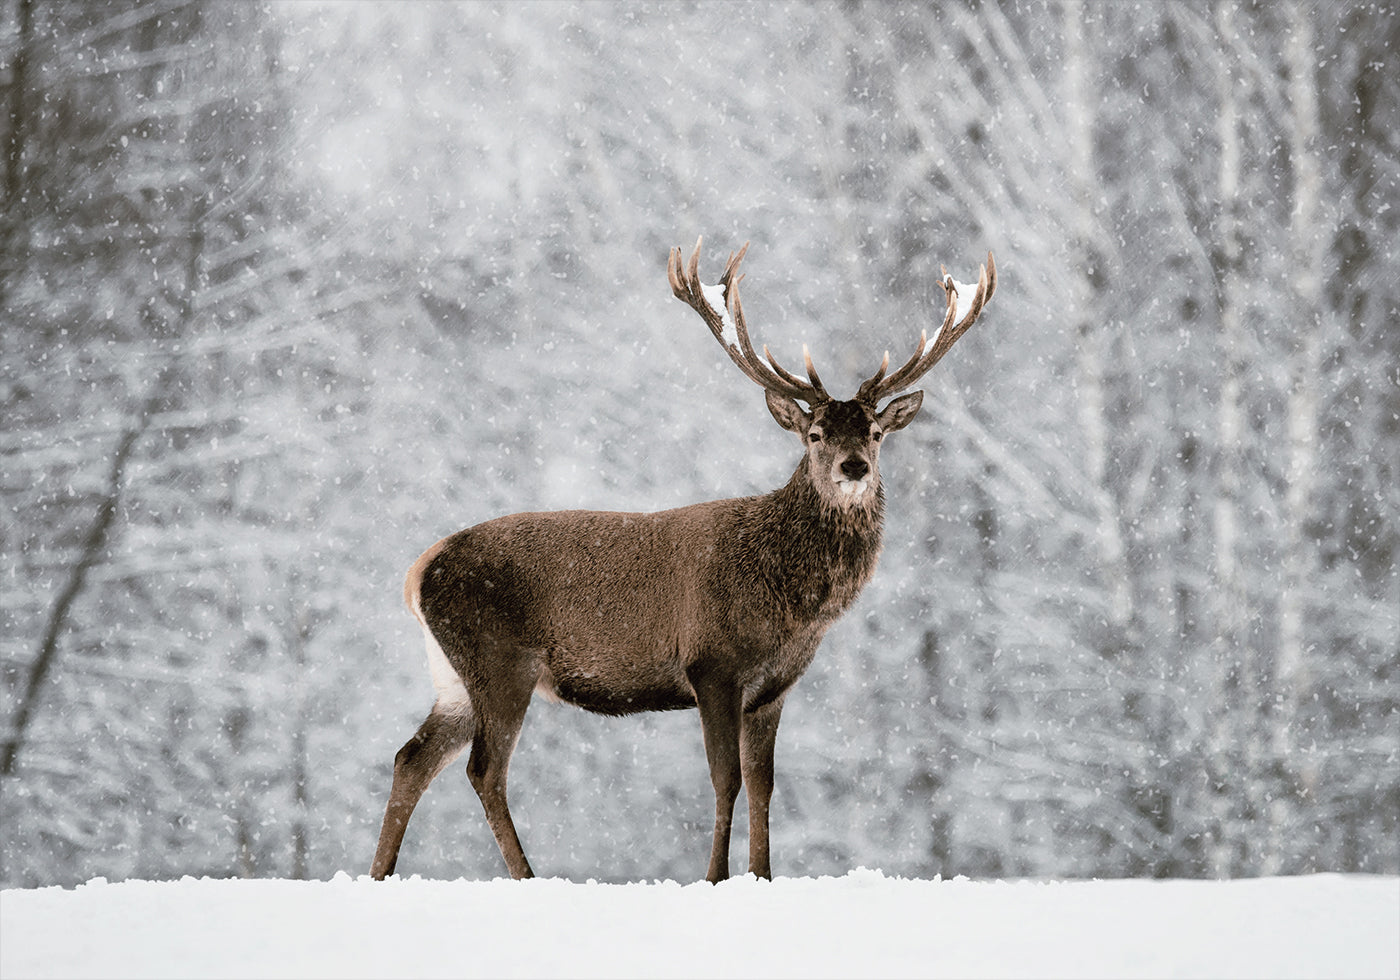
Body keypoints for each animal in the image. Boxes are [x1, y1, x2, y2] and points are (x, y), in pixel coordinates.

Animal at [369, 237, 996, 883]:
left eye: (873, 431)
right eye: (815, 433)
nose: (854, 467)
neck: (794, 605)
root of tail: (417, 572)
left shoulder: (773, 687)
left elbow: (765, 785)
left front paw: (763, 876)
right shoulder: (712, 662)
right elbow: (727, 779)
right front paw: (715, 876)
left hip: (454, 677)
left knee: (412, 757)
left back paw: (380, 872)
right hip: (500, 659)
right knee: (484, 769)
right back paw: (527, 876)